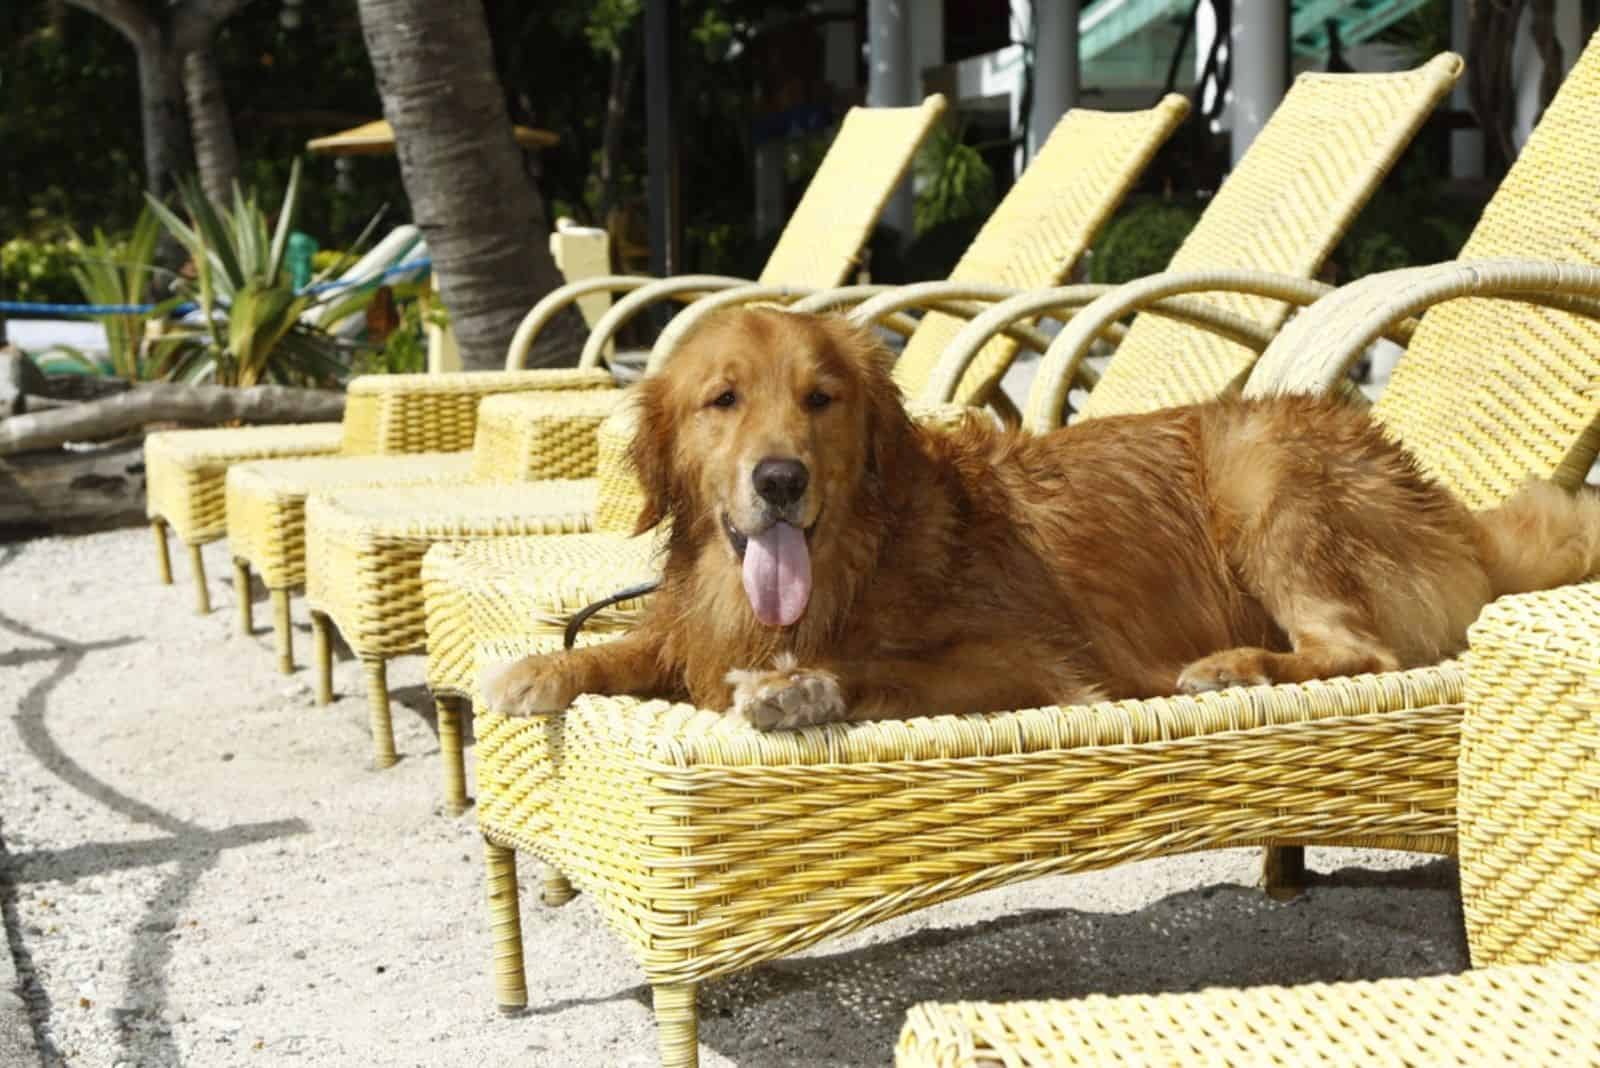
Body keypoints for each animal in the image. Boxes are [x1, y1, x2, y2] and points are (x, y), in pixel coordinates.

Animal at [480, 303, 1600, 729]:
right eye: (723, 400)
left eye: (819, 398)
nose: (781, 481)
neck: (854, 559)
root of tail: (1451, 509)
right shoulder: (692, 627)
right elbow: (638, 640)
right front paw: (547, 666)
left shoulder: (1037, 663)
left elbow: (883, 667)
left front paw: (802, 689)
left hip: (1259, 468)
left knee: (1358, 649)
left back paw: (1235, 666)